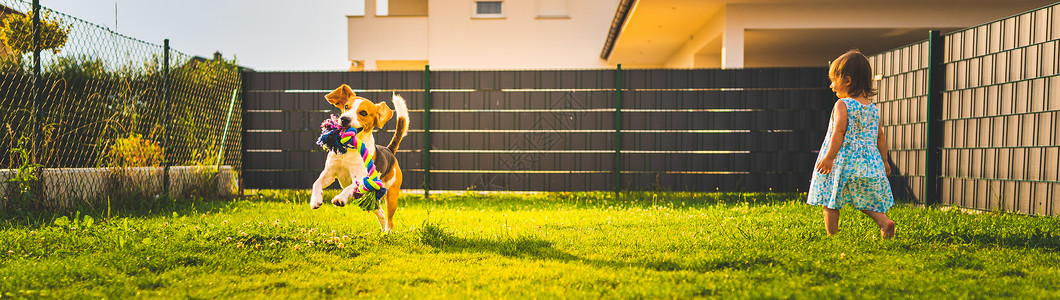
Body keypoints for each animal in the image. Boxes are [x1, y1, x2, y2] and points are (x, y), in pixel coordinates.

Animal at [309, 83, 407, 234]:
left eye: (363, 113)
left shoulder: (362, 178)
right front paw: (315, 200)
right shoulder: (329, 173)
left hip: (391, 196)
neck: (348, 148)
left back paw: (388, 232)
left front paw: (340, 198)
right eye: (346, 106)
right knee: (381, 213)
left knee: (390, 220)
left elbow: (350, 187)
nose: (344, 119)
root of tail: (389, 150)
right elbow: (316, 183)